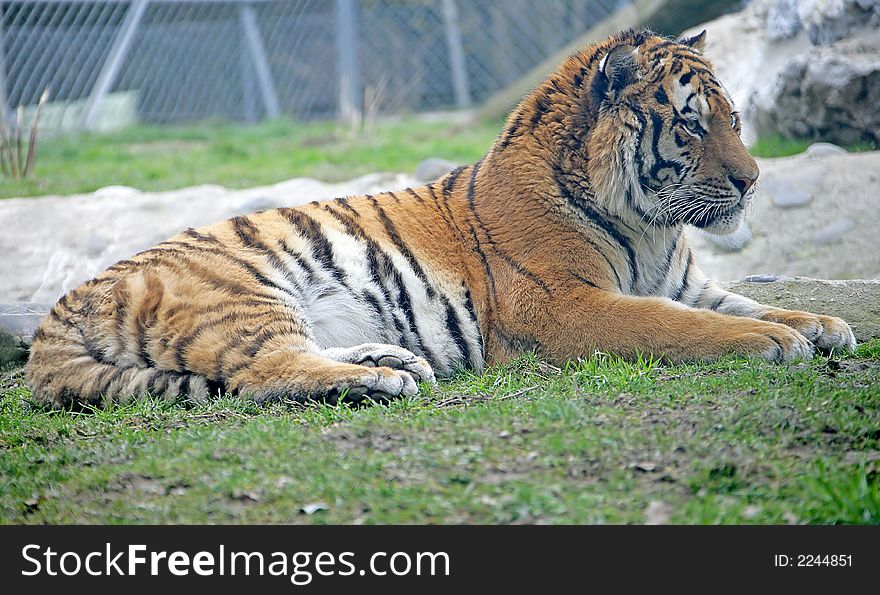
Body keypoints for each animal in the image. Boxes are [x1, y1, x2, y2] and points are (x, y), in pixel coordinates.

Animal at [25, 29, 852, 410]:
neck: (653, 225)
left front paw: (822, 324)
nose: (752, 181)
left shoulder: (687, 283)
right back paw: (383, 380)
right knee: (264, 373)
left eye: (736, 120)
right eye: (689, 125)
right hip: (243, 294)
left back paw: (393, 359)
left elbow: (750, 302)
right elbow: (681, 326)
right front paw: (771, 343)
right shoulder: (567, 306)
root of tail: (62, 306)